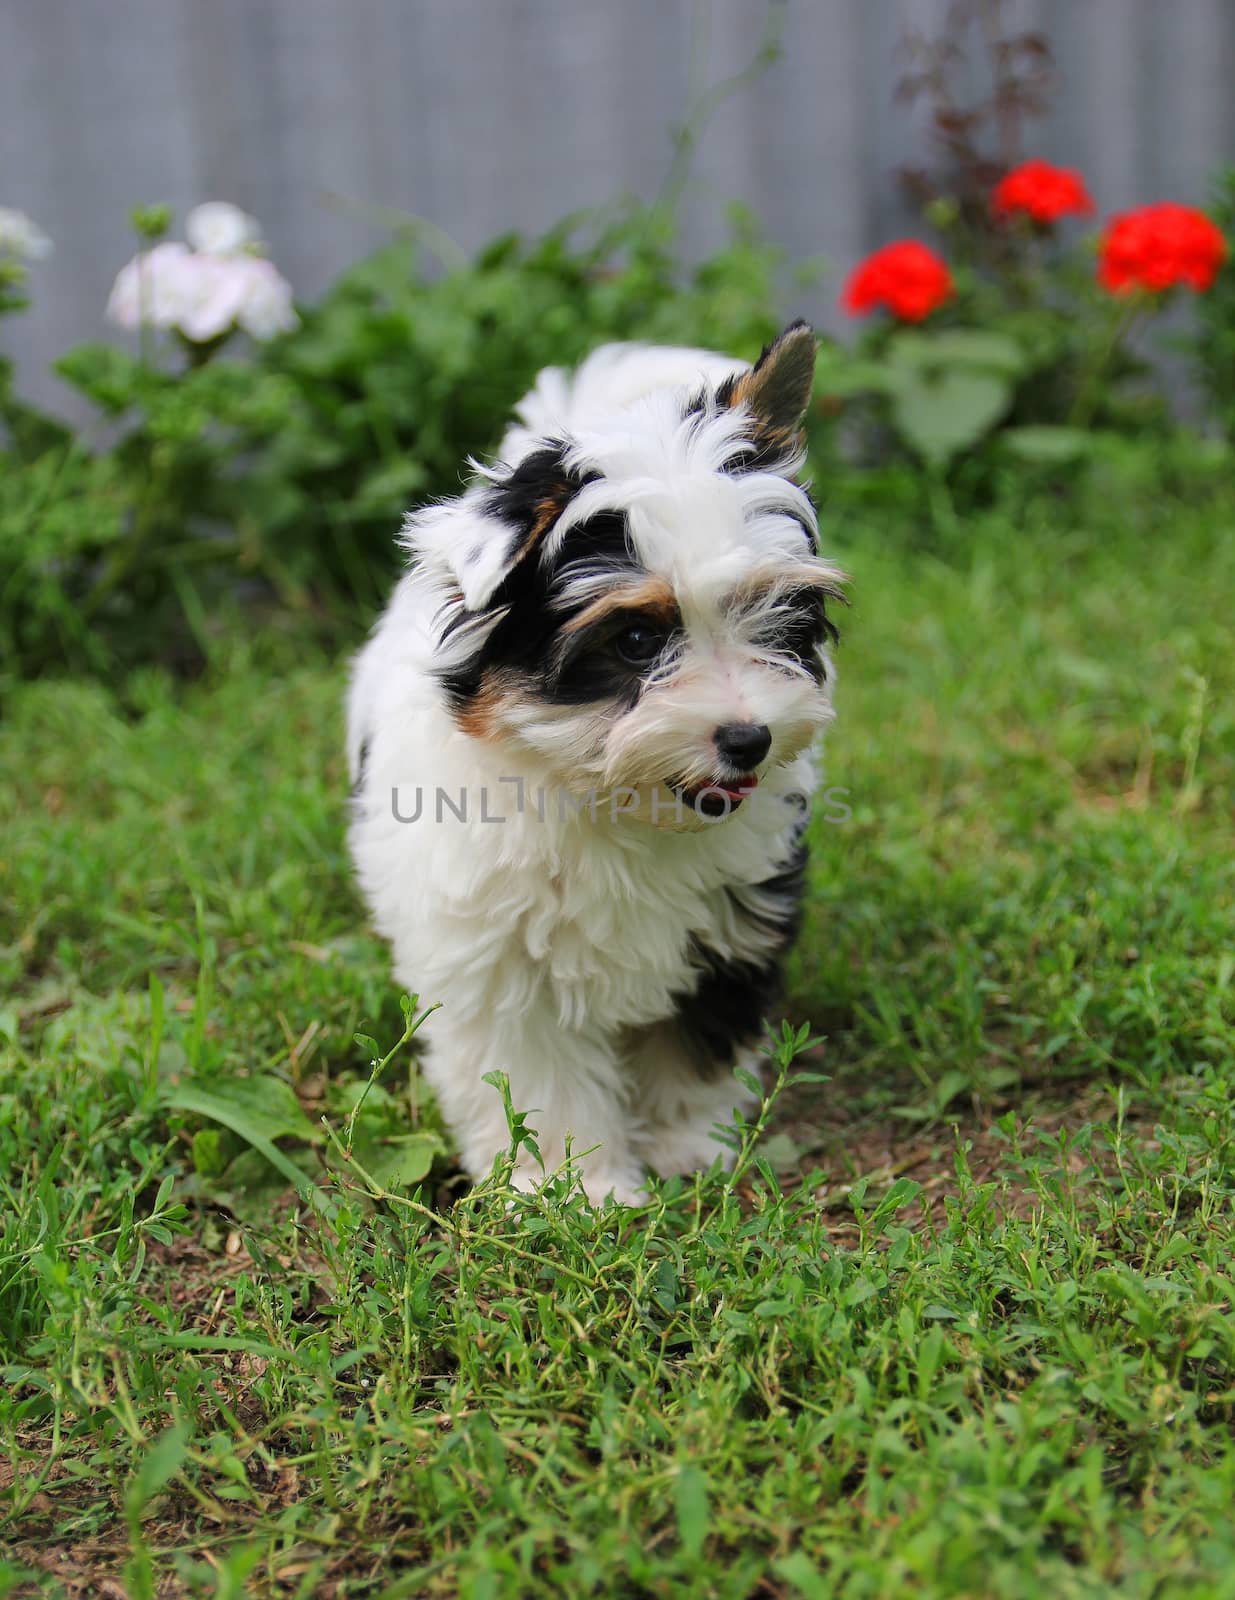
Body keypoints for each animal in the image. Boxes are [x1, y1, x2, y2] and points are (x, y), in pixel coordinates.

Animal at [350, 321, 851, 1203]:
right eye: (636, 639)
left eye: (773, 614)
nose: (748, 739)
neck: (603, 798)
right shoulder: (497, 957)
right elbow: (537, 1078)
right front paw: (574, 1187)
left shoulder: (732, 916)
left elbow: (695, 1038)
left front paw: (689, 1149)